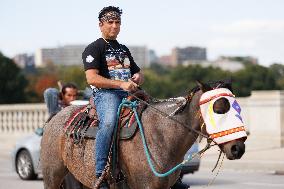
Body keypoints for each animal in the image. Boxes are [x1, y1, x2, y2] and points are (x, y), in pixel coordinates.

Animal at [41, 81, 247, 189]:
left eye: (238, 108)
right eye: (219, 108)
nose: (238, 148)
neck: (162, 135)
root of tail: (54, 119)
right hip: (53, 175)